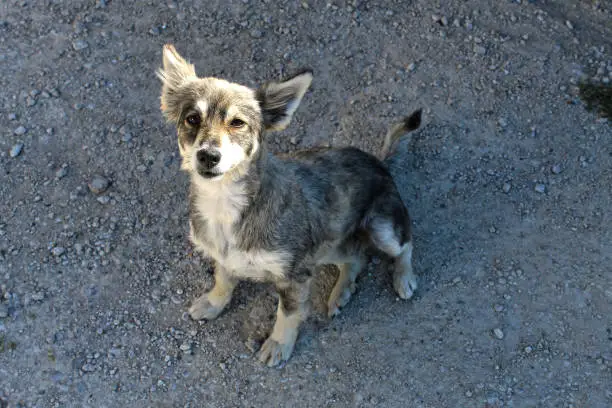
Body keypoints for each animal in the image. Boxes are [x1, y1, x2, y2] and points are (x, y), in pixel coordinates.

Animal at [158, 44, 420, 366]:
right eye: (192, 119)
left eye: (237, 123)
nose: (208, 155)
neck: (224, 204)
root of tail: (380, 162)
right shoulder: (226, 258)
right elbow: (223, 280)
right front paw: (213, 302)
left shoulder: (295, 276)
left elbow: (288, 314)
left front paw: (278, 344)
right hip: (326, 244)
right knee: (357, 256)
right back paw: (340, 292)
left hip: (382, 229)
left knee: (405, 244)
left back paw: (403, 277)